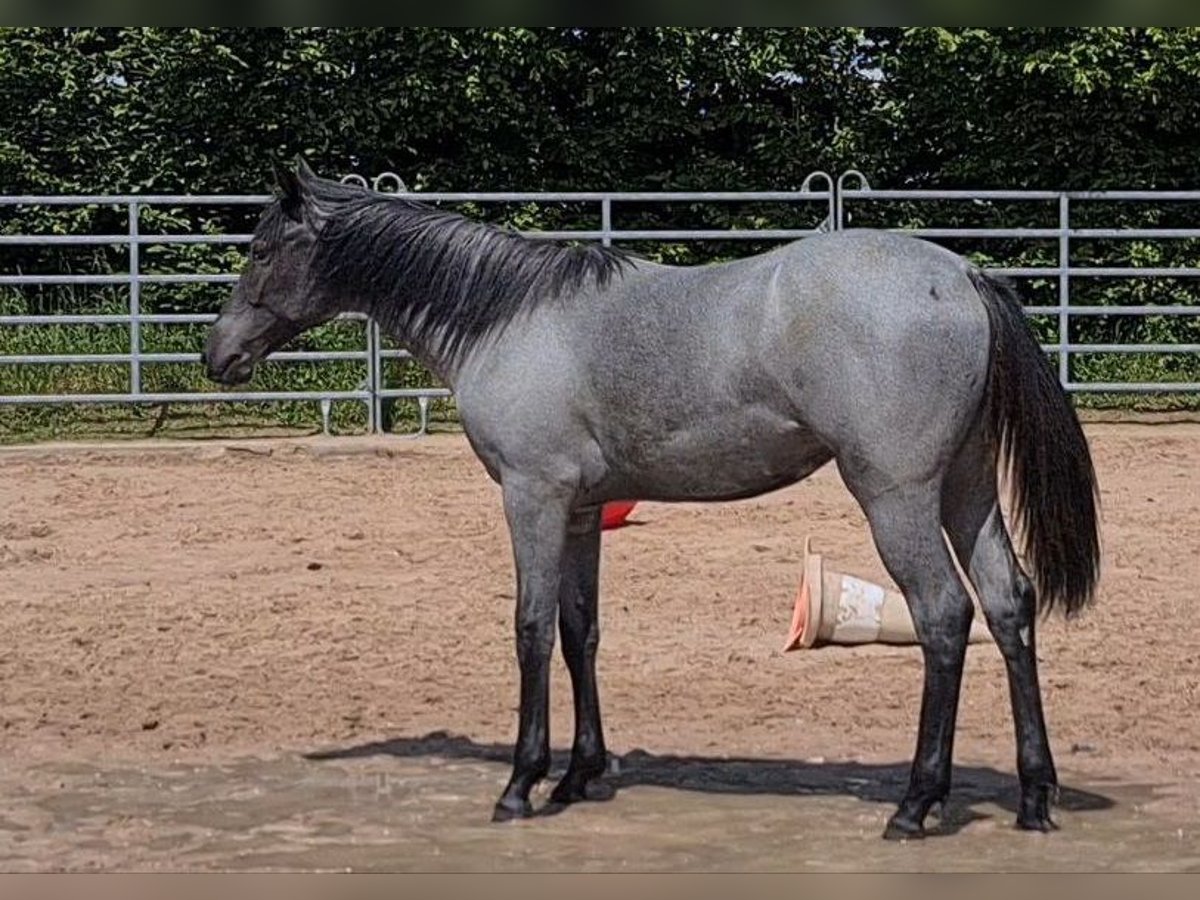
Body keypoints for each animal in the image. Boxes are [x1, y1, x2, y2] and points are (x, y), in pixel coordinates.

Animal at [204, 158, 1099, 844]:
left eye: (261, 250)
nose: (219, 355)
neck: (508, 318)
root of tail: (960, 276)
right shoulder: (579, 511)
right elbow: (580, 632)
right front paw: (580, 776)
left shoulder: (531, 498)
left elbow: (530, 631)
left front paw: (521, 784)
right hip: (966, 491)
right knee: (1009, 605)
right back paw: (1033, 797)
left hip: (897, 498)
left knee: (945, 617)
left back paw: (916, 804)